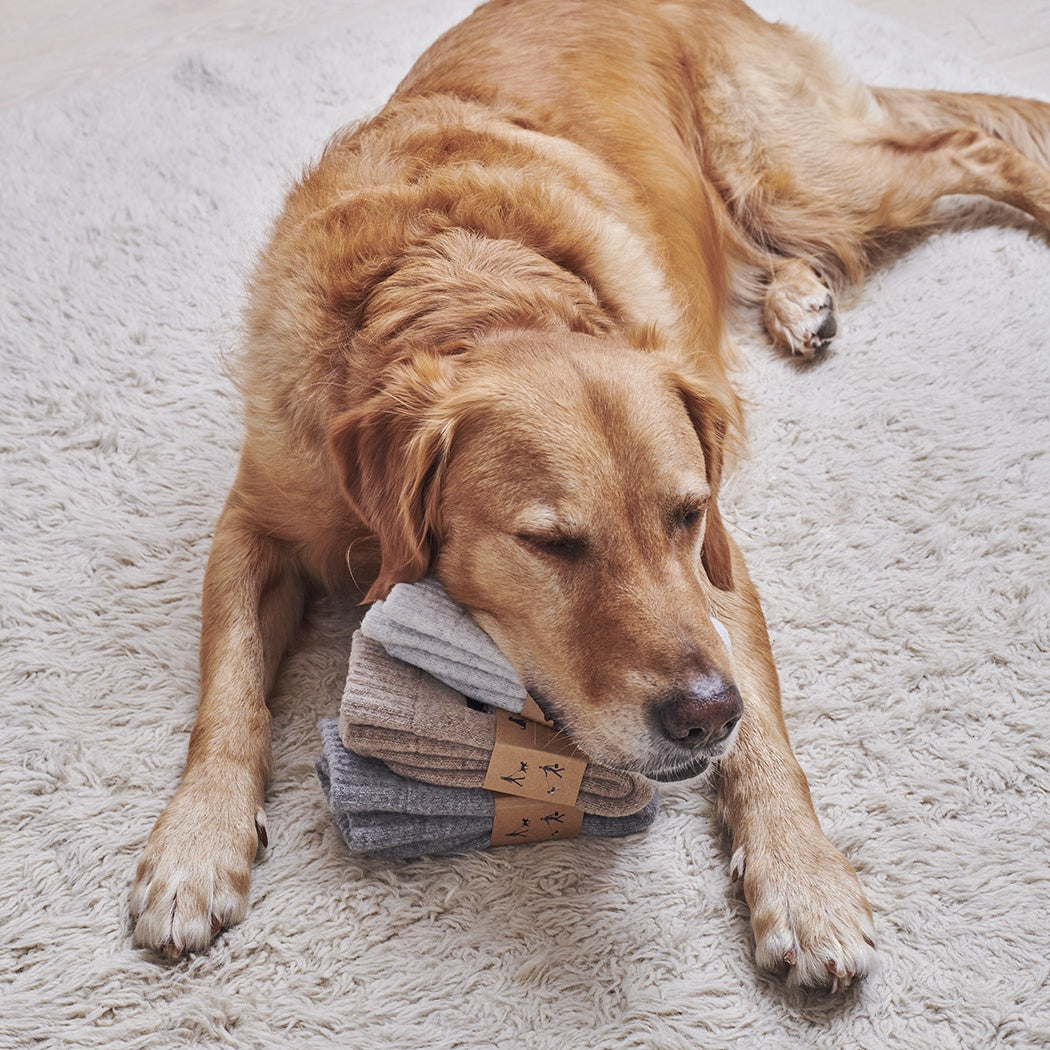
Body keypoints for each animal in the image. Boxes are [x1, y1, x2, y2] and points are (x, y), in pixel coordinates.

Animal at [127, 0, 1045, 986]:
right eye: (551, 544)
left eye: (685, 517)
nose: (703, 719)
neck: (461, 281)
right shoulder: (254, 522)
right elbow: (228, 685)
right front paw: (195, 843)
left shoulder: (718, 563)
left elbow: (767, 727)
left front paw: (805, 880)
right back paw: (799, 295)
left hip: (800, 173)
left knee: (967, 150)